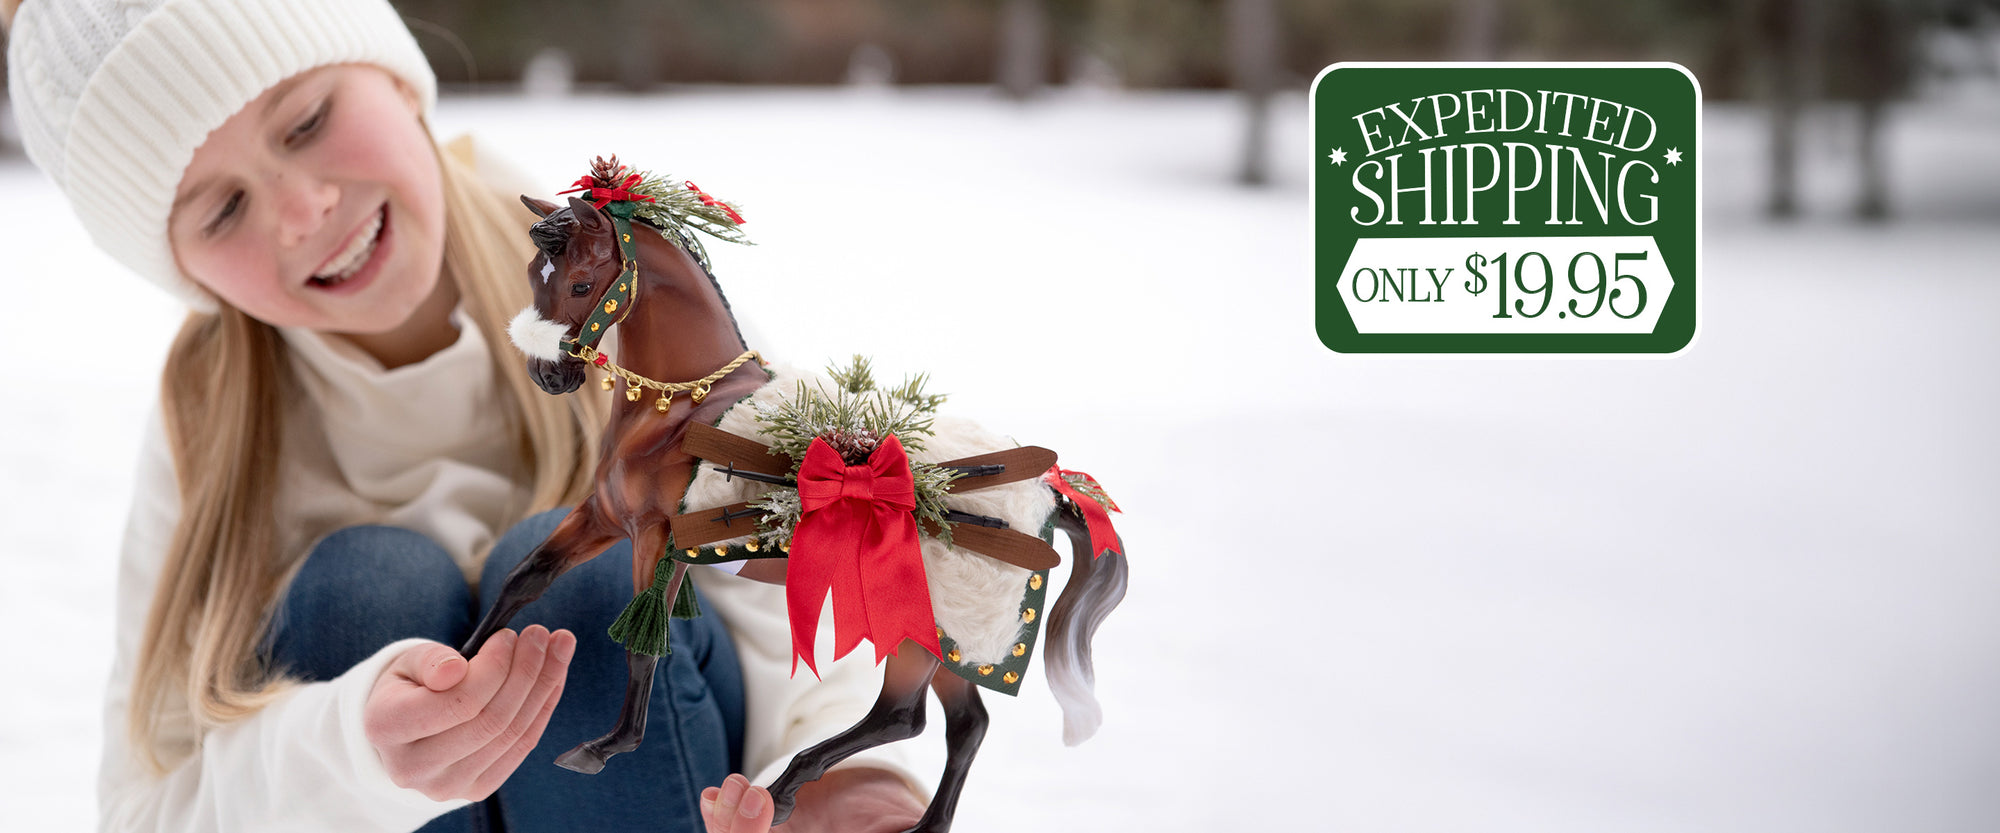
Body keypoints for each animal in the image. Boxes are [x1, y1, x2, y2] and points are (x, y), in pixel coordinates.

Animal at [458, 162, 1136, 832]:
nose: (549, 375)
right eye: (533, 276)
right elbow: (526, 577)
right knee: (966, 724)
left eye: (579, 284)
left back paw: (783, 789)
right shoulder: (602, 516)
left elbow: (642, 648)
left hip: (920, 635)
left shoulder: (656, 537)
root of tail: (1048, 496)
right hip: (945, 646)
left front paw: (605, 747)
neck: (680, 410)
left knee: (901, 716)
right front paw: (458, 668)